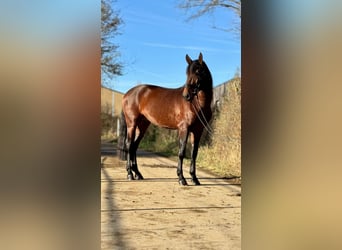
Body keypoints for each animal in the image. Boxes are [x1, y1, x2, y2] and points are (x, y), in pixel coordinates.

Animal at [120, 52, 211, 186]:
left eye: (198, 71)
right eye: (187, 73)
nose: (186, 95)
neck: (196, 104)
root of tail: (127, 94)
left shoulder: (198, 131)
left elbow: (194, 154)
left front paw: (194, 178)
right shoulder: (184, 128)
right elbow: (181, 152)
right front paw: (181, 178)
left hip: (143, 125)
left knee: (134, 146)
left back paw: (138, 174)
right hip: (132, 124)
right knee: (128, 145)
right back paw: (130, 174)